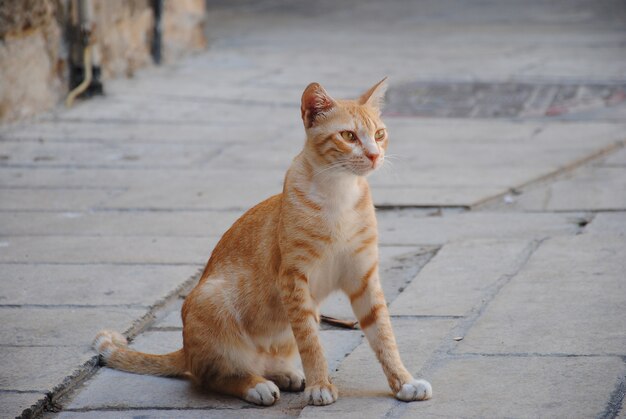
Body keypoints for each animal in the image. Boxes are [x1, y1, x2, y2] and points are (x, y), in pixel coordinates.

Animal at [95, 79, 432, 406]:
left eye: (379, 134)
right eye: (348, 135)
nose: (375, 155)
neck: (339, 195)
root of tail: (185, 349)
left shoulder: (363, 277)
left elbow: (383, 335)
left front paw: (404, 381)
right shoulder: (294, 280)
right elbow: (310, 340)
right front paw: (320, 385)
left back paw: (285, 374)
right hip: (210, 299)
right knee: (210, 376)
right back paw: (255, 385)